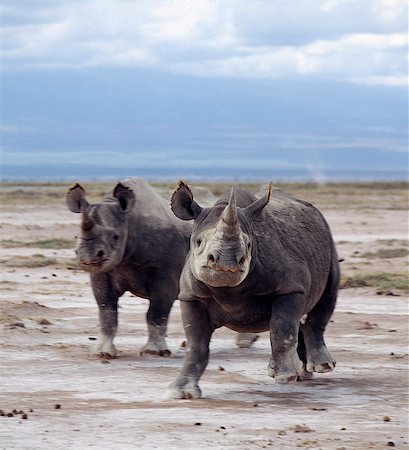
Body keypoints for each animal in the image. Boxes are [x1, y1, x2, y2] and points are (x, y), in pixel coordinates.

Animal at [66, 178, 190, 356]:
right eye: (77, 235)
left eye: (115, 236)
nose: (88, 256)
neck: (129, 220)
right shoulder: (103, 272)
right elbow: (106, 311)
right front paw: (102, 352)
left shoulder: (166, 272)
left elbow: (157, 311)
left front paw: (153, 352)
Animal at [166, 181, 338, 400]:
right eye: (198, 242)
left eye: (248, 245)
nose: (226, 263)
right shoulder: (191, 296)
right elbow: (196, 344)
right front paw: (180, 392)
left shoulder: (290, 287)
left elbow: (282, 327)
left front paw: (285, 376)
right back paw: (303, 374)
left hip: (328, 242)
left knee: (326, 298)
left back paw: (320, 367)